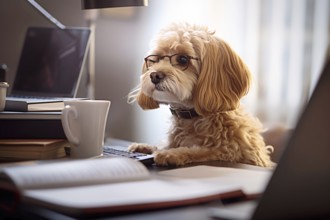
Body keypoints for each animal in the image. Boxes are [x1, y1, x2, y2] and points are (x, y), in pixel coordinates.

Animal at [127, 22, 274, 167]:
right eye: (156, 59)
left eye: (183, 59)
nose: (154, 76)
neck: (191, 116)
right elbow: (162, 145)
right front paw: (147, 147)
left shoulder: (230, 150)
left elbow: (200, 151)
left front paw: (172, 153)